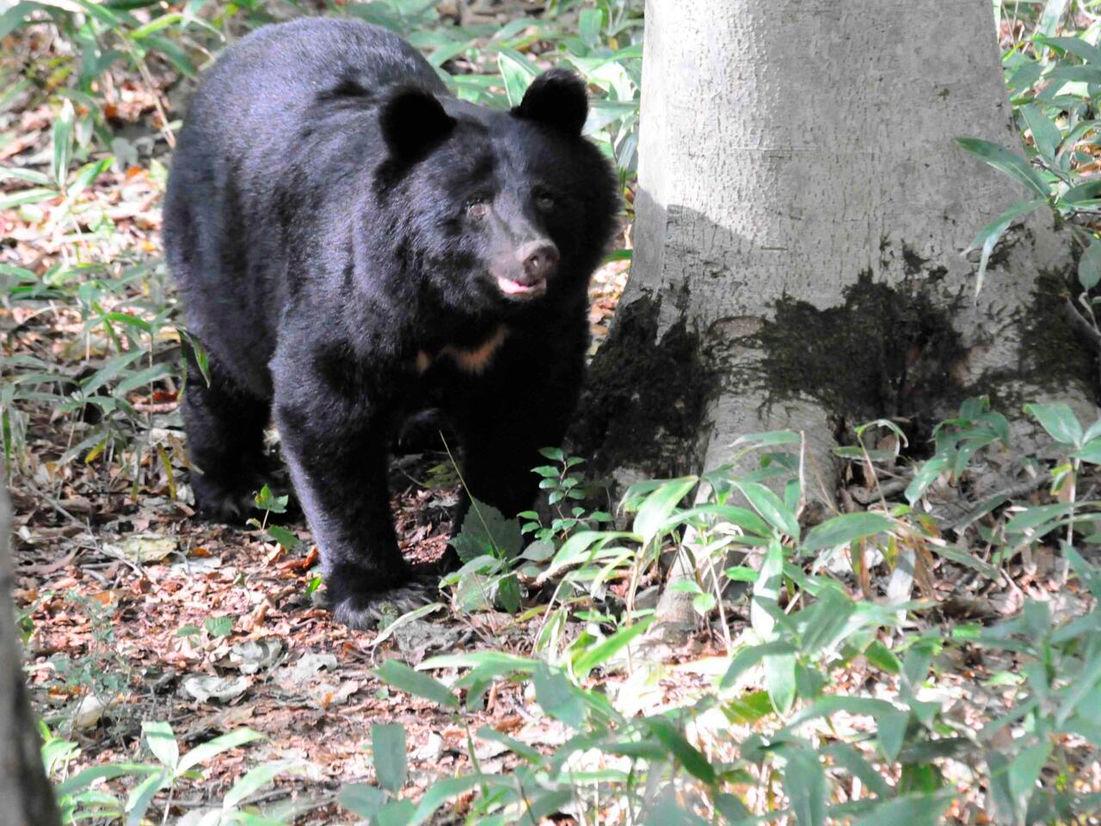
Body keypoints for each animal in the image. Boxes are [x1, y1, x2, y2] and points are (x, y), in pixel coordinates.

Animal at [162, 18, 620, 629]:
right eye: (475, 203)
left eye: (548, 197)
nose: (536, 257)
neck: (462, 309)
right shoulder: (358, 294)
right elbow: (324, 408)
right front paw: (381, 593)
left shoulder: (545, 325)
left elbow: (520, 414)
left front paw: (481, 545)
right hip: (221, 245)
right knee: (223, 366)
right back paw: (231, 486)